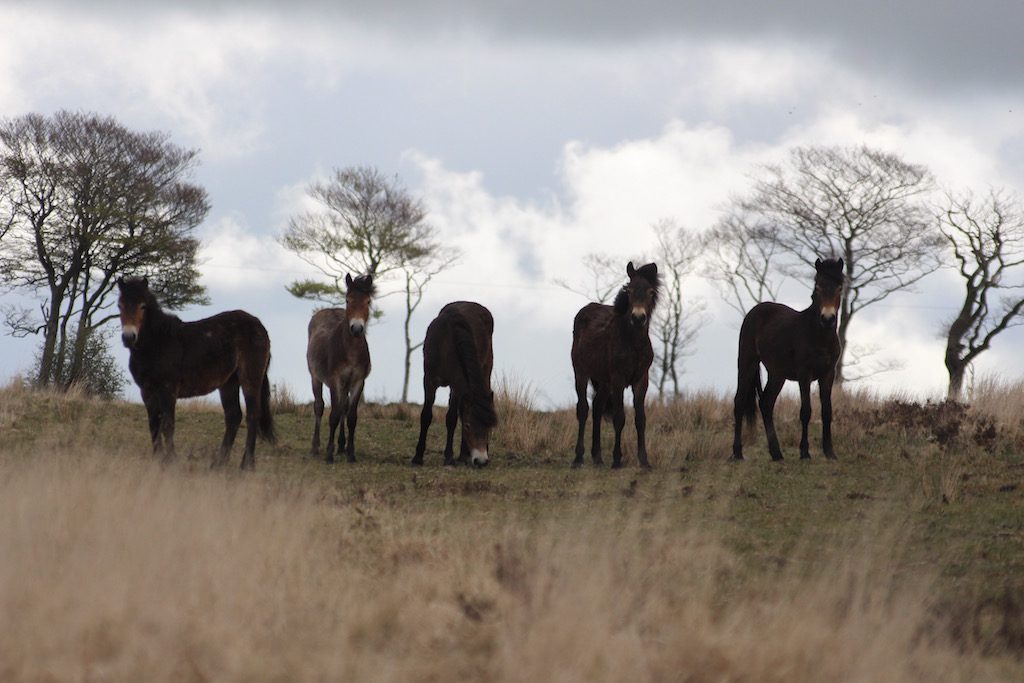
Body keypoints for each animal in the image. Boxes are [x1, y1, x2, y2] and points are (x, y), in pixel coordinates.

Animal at [115, 278, 274, 471]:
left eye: (143, 306)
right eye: (120, 305)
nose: (128, 337)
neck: (158, 342)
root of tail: (259, 326)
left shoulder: (168, 390)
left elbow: (168, 425)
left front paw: (171, 460)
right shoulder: (146, 391)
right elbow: (153, 424)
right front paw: (157, 459)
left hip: (250, 378)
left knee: (252, 416)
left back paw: (246, 465)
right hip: (229, 382)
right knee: (233, 417)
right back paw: (218, 464)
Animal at [307, 272, 380, 464]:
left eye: (368, 301)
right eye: (347, 300)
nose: (357, 329)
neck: (351, 350)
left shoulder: (358, 382)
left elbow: (351, 417)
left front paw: (351, 453)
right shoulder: (335, 380)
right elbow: (333, 415)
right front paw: (329, 454)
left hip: (346, 385)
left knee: (344, 408)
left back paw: (341, 446)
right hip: (315, 377)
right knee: (319, 406)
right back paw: (315, 447)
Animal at [411, 301, 499, 466]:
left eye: (489, 428)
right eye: (468, 426)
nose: (481, 460)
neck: (446, 343)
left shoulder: (457, 384)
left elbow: (451, 418)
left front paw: (449, 456)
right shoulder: (429, 381)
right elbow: (426, 415)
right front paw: (417, 457)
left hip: (484, 371)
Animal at [573, 262, 659, 471]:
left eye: (651, 292)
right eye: (629, 291)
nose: (638, 318)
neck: (632, 342)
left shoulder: (641, 380)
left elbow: (640, 419)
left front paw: (644, 461)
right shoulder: (619, 379)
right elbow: (619, 418)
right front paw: (617, 460)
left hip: (604, 381)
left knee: (596, 407)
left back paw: (597, 458)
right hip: (581, 372)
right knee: (583, 409)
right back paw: (578, 458)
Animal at [733, 259, 843, 462]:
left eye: (839, 288)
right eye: (818, 287)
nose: (828, 318)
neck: (819, 335)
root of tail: (755, 311)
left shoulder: (828, 374)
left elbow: (827, 411)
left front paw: (830, 452)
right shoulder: (804, 374)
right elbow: (806, 411)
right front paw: (805, 453)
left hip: (777, 374)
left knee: (766, 403)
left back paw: (776, 453)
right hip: (747, 362)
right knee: (739, 402)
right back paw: (737, 453)